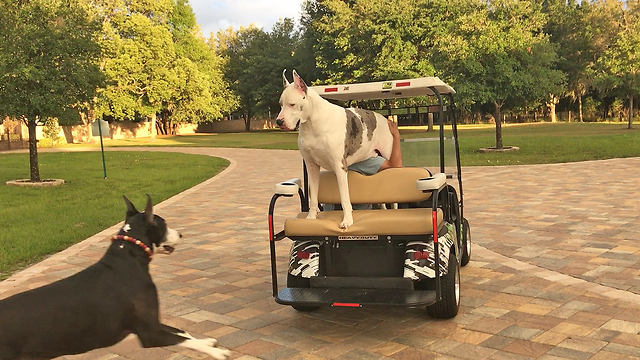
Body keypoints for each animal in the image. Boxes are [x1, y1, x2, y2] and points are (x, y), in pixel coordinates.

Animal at [0, 195, 230, 360]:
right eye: (164, 224)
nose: (181, 234)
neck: (128, 255)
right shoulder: (149, 331)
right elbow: (182, 339)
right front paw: (217, 352)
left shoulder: (153, 321)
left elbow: (182, 332)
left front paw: (207, 342)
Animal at [276, 69, 396, 229]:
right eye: (280, 104)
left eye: (292, 104)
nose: (278, 121)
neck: (313, 123)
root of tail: (384, 118)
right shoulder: (311, 166)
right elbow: (314, 196)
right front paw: (311, 217)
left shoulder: (340, 167)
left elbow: (344, 198)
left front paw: (347, 221)